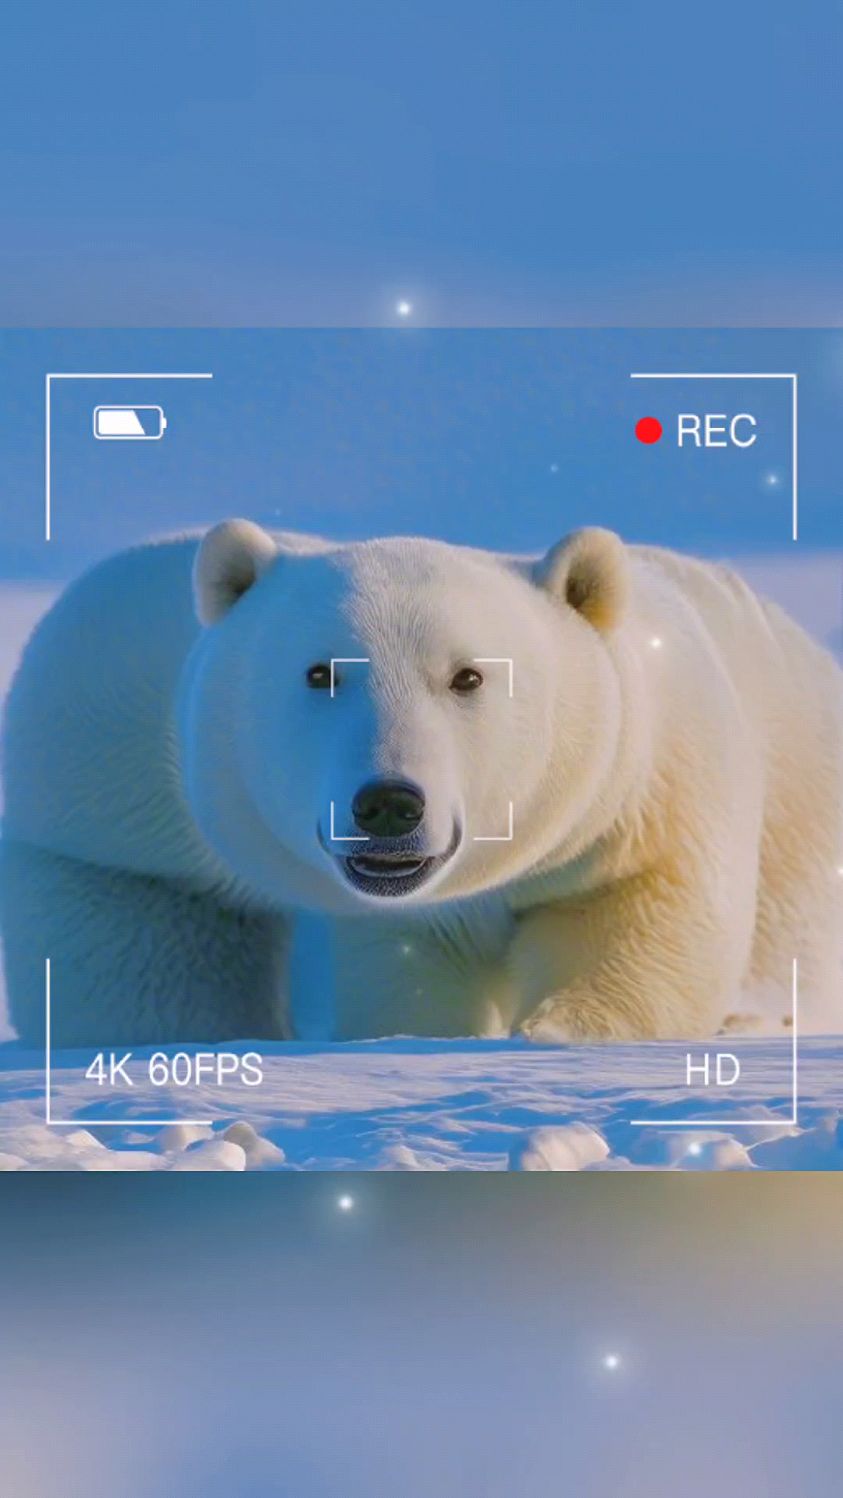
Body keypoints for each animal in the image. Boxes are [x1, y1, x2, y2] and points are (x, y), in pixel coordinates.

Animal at [1, 519, 841, 1048]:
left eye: (467, 676)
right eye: (320, 671)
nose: (388, 803)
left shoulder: (638, 784)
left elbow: (636, 909)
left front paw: (559, 1030)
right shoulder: (114, 780)